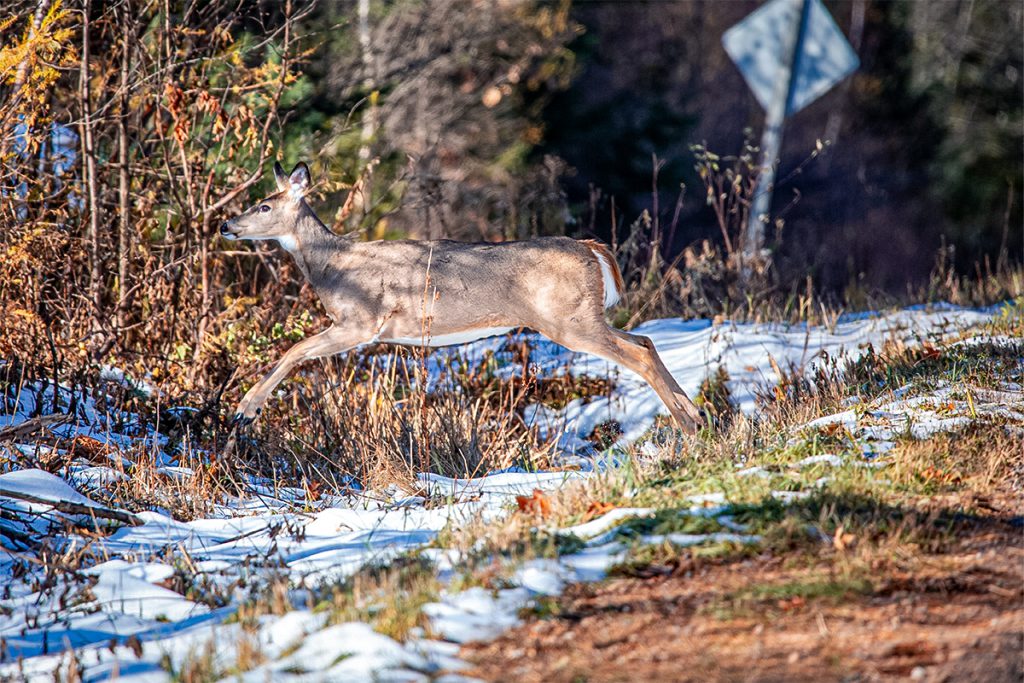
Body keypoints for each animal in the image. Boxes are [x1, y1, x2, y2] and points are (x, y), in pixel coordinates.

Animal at [220, 162, 704, 433]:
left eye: (264, 206)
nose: (226, 225)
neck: (332, 266)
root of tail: (591, 248)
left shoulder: (361, 321)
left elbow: (293, 351)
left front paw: (245, 410)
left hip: (567, 320)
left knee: (637, 353)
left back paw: (686, 424)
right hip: (584, 317)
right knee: (645, 340)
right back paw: (698, 417)